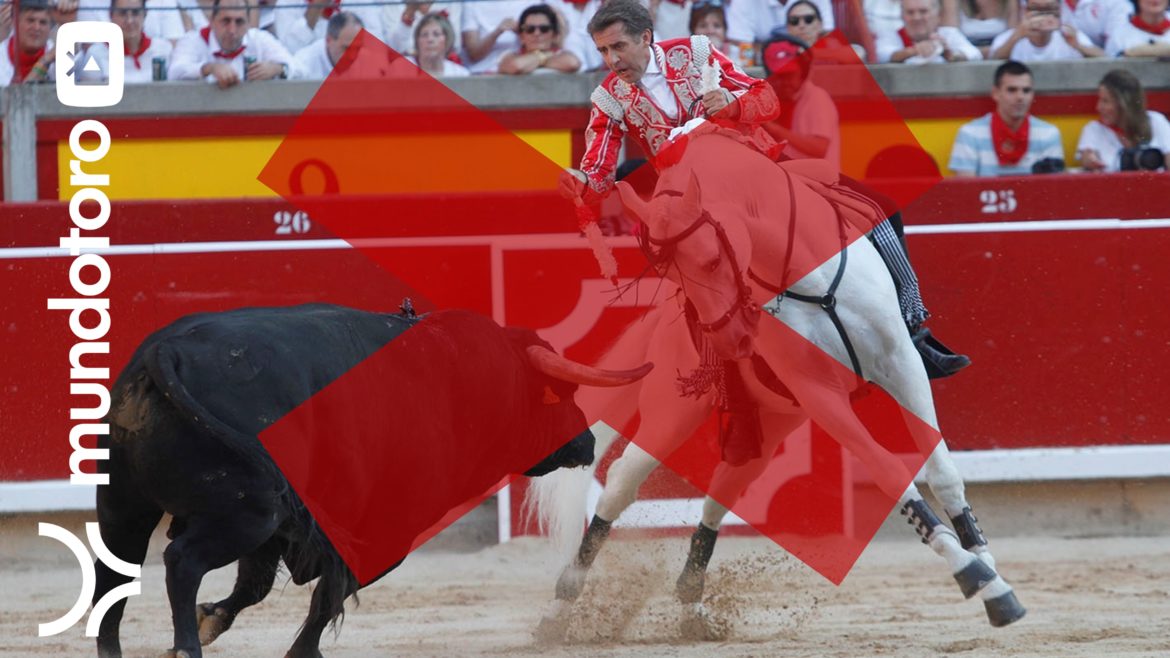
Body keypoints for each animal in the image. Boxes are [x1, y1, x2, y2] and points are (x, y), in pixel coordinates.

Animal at [93, 304, 650, 650]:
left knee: (113, 572)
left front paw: (214, 619)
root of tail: (164, 352)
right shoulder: (381, 528)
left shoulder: (285, 533)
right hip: (246, 512)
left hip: (125, 504)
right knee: (181, 562)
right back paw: (186, 648)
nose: (588, 442)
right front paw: (300, 649)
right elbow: (332, 592)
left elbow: (256, 588)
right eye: (558, 393)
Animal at [531, 125, 1024, 636]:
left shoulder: (902, 362)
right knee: (623, 480)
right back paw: (560, 611)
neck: (808, 275)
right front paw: (972, 574)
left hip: (767, 425)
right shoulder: (820, 394)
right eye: (669, 270)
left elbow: (942, 469)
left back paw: (692, 608)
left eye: (712, 260)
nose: (729, 339)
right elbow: (890, 471)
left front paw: (990, 572)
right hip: (672, 410)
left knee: (721, 493)